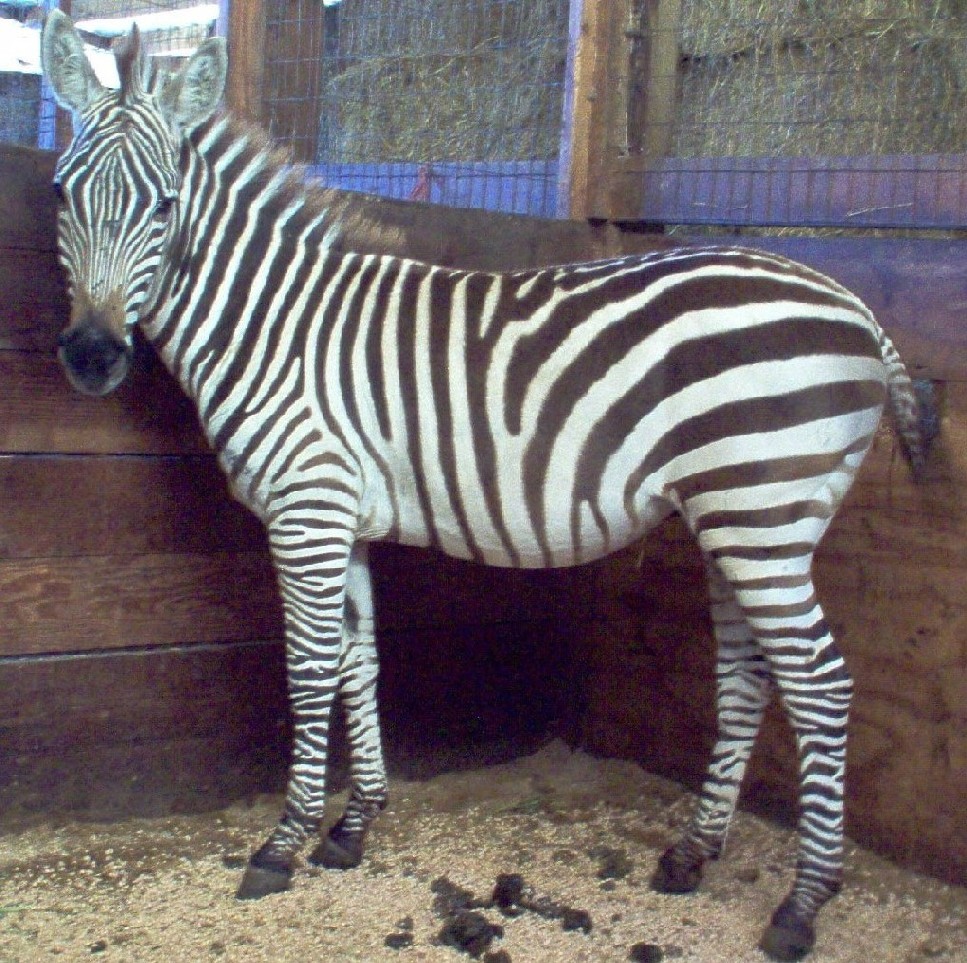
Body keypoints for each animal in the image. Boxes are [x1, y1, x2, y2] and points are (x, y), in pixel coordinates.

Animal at [40, 12, 934, 961]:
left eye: (164, 206)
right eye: (60, 195)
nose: (91, 356)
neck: (276, 326)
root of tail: (852, 304)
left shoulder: (305, 509)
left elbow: (310, 664)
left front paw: (283, 842)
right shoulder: (343, 518)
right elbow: (359, 657)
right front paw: (353, 827)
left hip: (759, 513)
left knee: (820, 683)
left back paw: (801, 904)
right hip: (739, 519)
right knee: (748, 673)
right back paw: (692, 853)